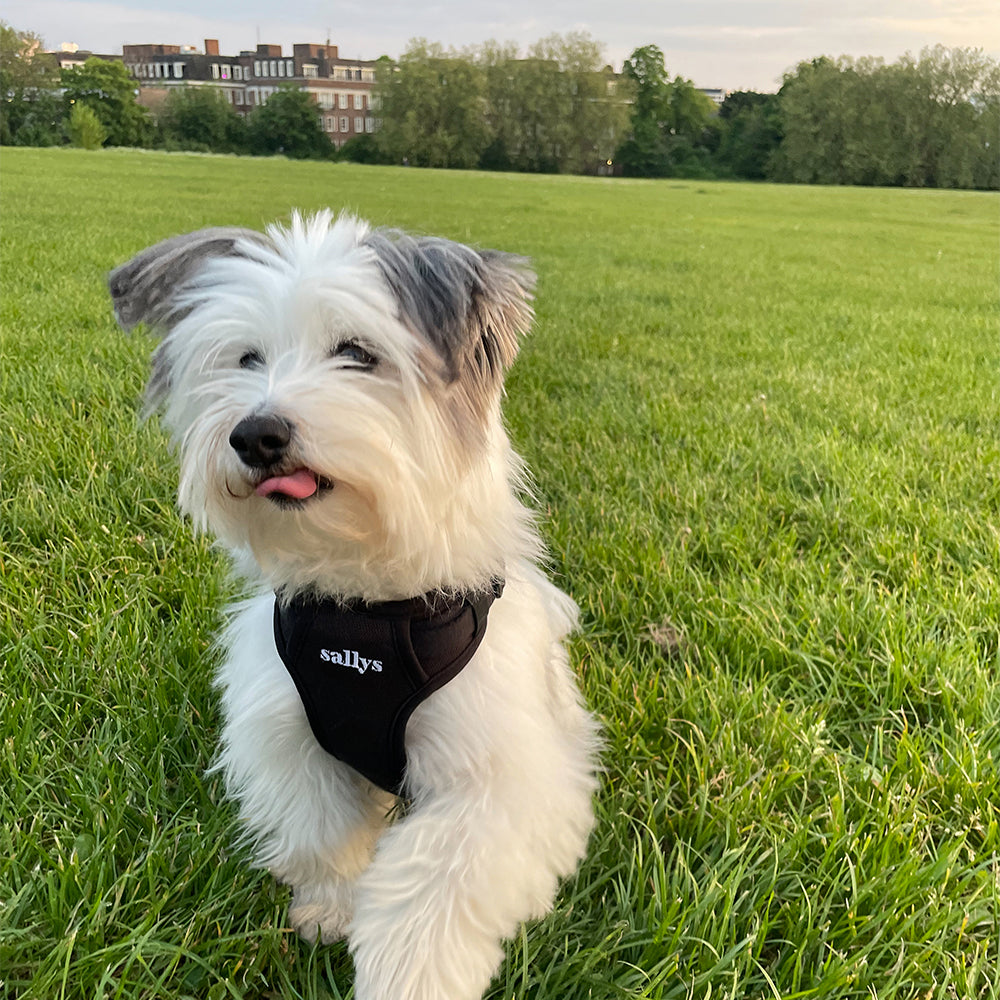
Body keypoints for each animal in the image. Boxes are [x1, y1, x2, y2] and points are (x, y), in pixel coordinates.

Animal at [109, 211, 600, 1000]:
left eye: (356, 354)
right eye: (247, 357)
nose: (257, 434)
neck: (366, 609)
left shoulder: (500, 773)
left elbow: (435, 883)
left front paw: (407, 977)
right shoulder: (288, 731)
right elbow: (323, 830)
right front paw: (329, 907)